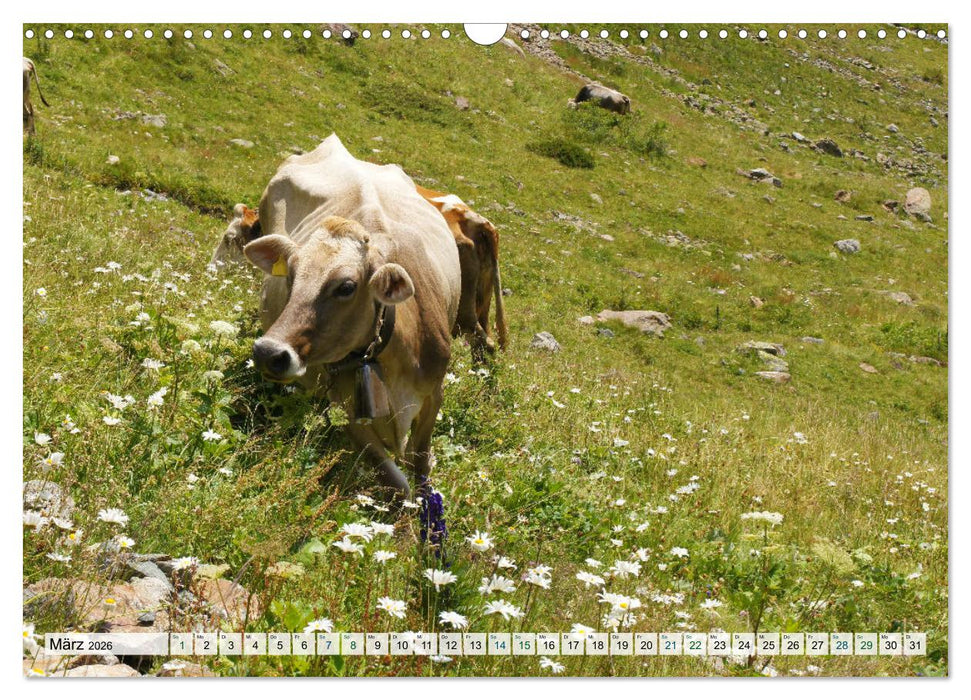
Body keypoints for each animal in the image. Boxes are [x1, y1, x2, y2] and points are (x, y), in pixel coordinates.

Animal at [243, 134, 461, 499]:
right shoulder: (343, 410)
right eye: (291, 276)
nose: (268, 353)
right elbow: (394, 481)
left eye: (346, 286)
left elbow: (420, 462)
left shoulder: (435, 392)